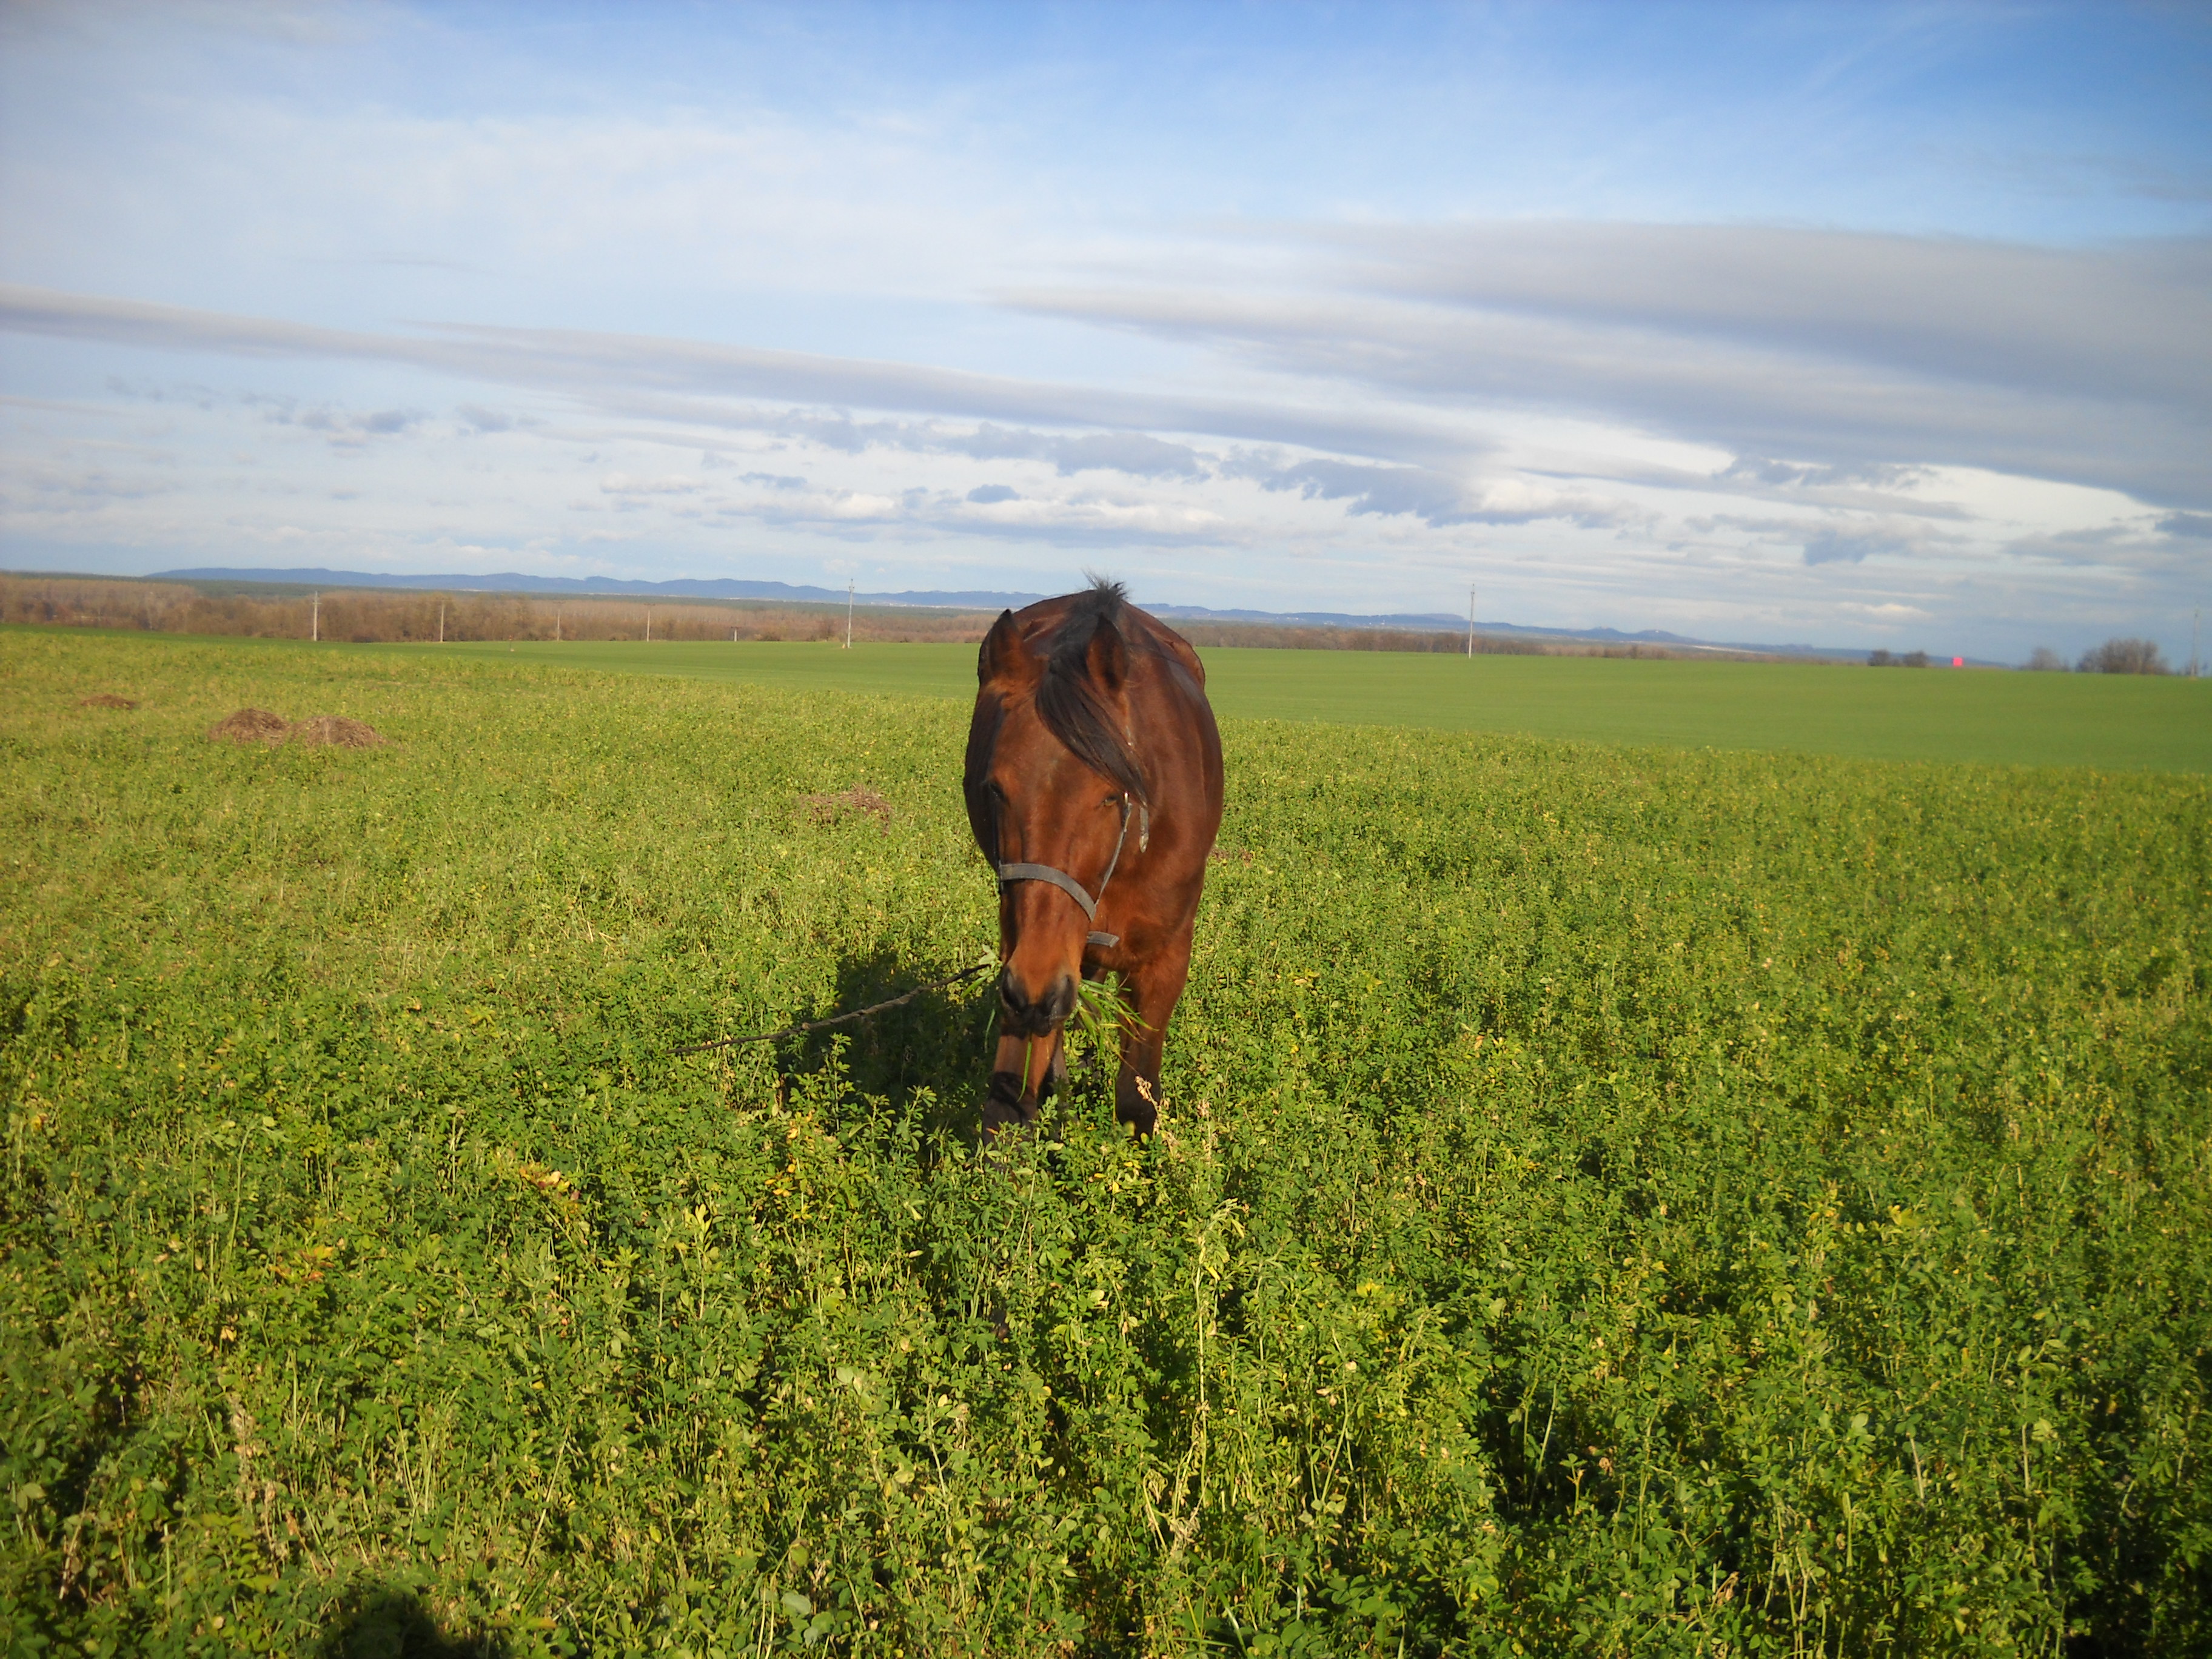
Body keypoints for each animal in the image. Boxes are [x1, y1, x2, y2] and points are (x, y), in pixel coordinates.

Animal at [964, 579, 1230, 1141]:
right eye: (995, 788)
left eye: (1111, 795)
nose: (1034, 987)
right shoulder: (1025, 952)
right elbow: (1010, 1104)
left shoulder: (1165, 958)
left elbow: (1136, 1098)